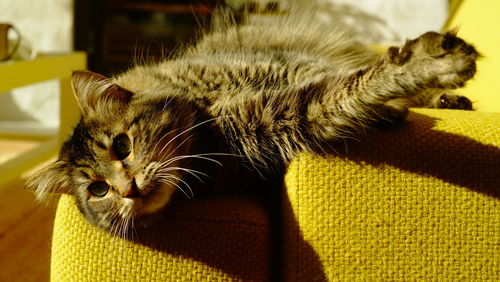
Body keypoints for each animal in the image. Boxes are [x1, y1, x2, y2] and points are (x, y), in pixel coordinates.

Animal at [25, 4, 478, 236]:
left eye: (122, 145)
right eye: (98, 191)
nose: (127, 190)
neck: (205, 116)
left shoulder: (296, 72)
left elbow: (365, 76)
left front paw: (433, 64)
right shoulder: (285, 117)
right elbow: (344, 92)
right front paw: (391, 102)